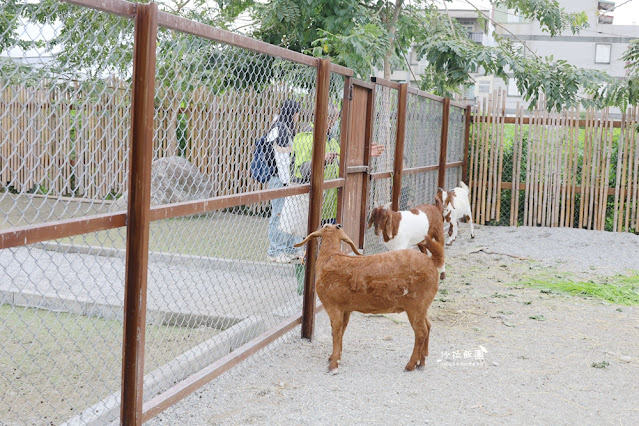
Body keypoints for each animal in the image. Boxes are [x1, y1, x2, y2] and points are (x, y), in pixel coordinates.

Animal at [296, 225, 442, 372]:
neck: (330, 257)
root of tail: (433, 261)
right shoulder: (346, 309)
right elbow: (342, 330)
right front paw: (334, 357)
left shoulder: (333, 306)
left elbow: (336, 331)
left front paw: (333, 364)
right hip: (423, 306)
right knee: (428, 326)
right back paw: (421, 363)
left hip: (415, 305)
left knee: (421, 332)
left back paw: (410, 365)